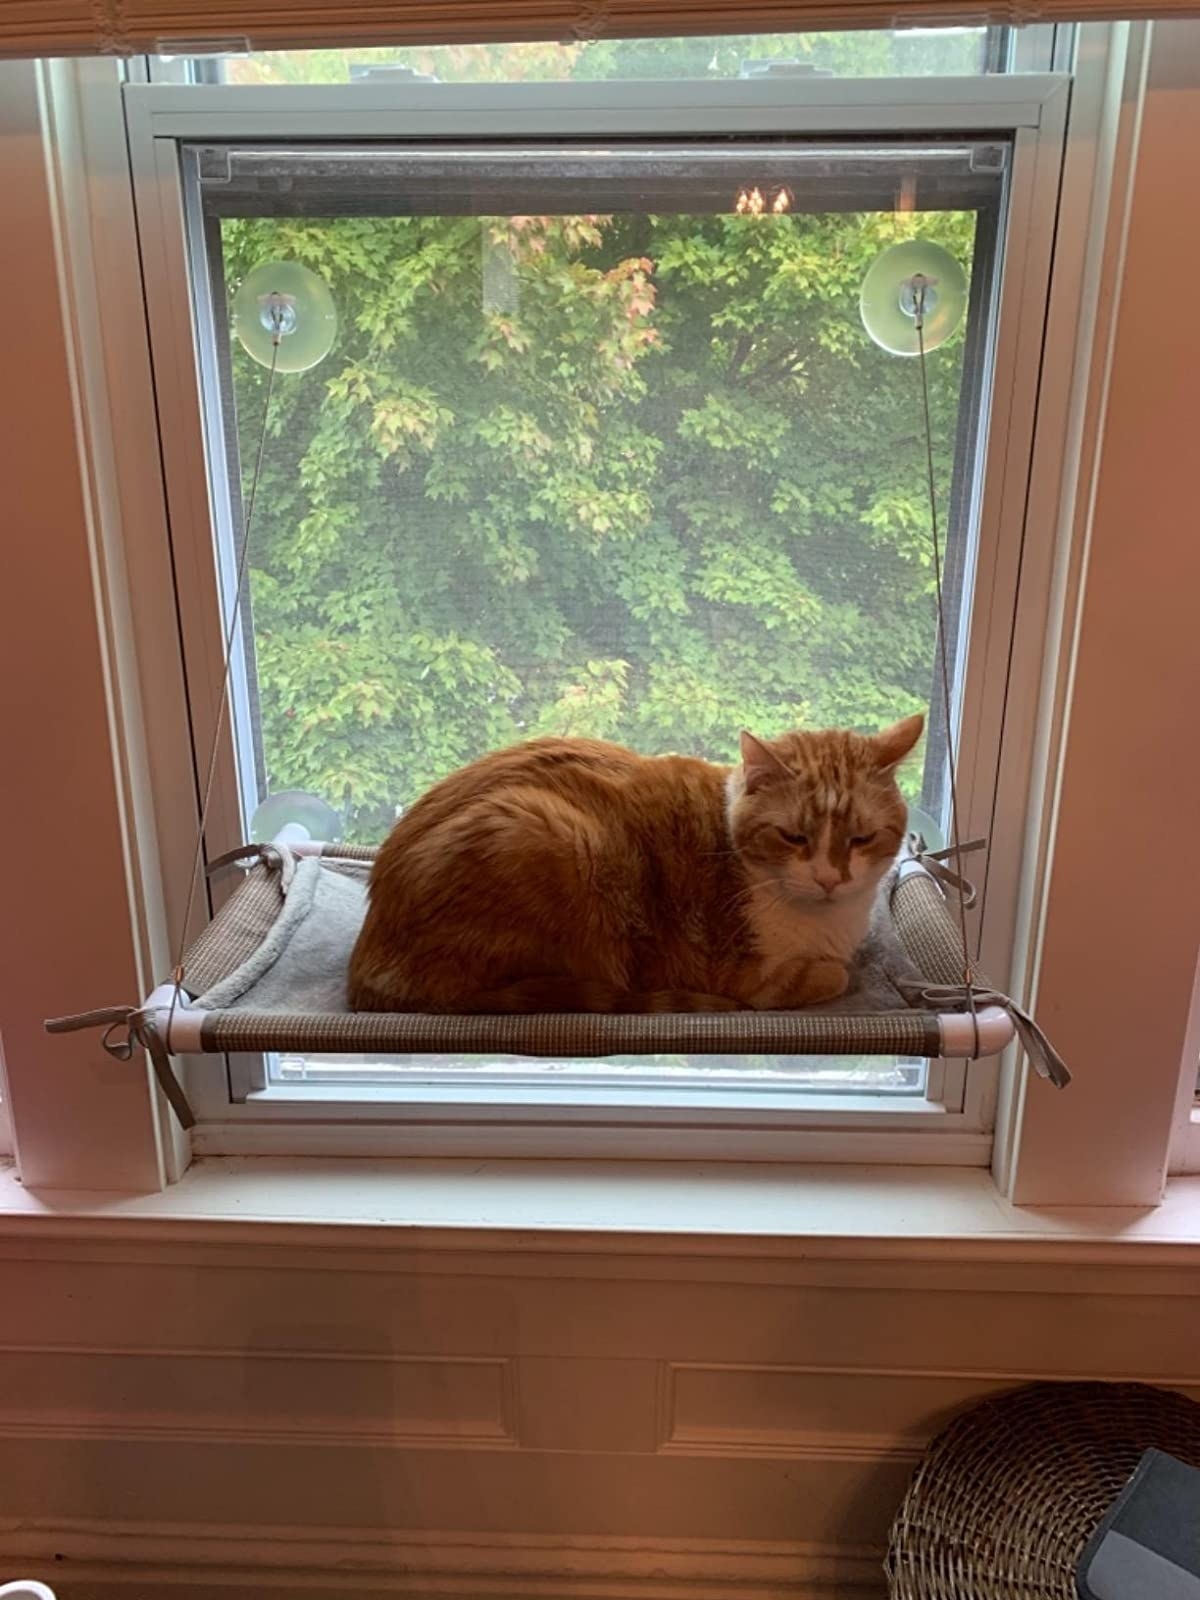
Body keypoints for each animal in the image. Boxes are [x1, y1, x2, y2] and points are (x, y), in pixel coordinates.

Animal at [342, 723, 928, 1011]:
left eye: (861, 838)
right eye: (794, 837)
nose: (831, 878)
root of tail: (364, 966)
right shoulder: (751, 978)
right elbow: (830, 973)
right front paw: (837, 970)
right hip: (551, 833)